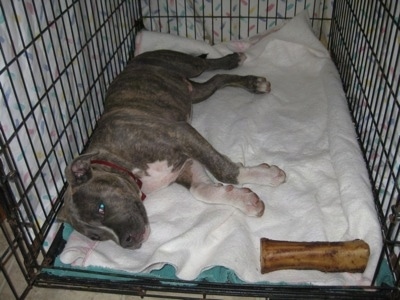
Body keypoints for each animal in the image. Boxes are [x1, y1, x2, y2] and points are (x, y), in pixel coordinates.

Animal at [59, 50, 286, 250]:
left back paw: (238, 64)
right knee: (217, 80)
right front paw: (245, 200)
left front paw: (265, 175)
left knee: (207, 64)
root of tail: (133, 60)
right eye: (96, 236)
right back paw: (251, 82)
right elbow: (202, 190)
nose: (127, 242)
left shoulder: (180, 133)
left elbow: (225, 171)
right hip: (197, 93)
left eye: (101, 207)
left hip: (186, 65)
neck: (118, 163)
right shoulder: (185, 164)